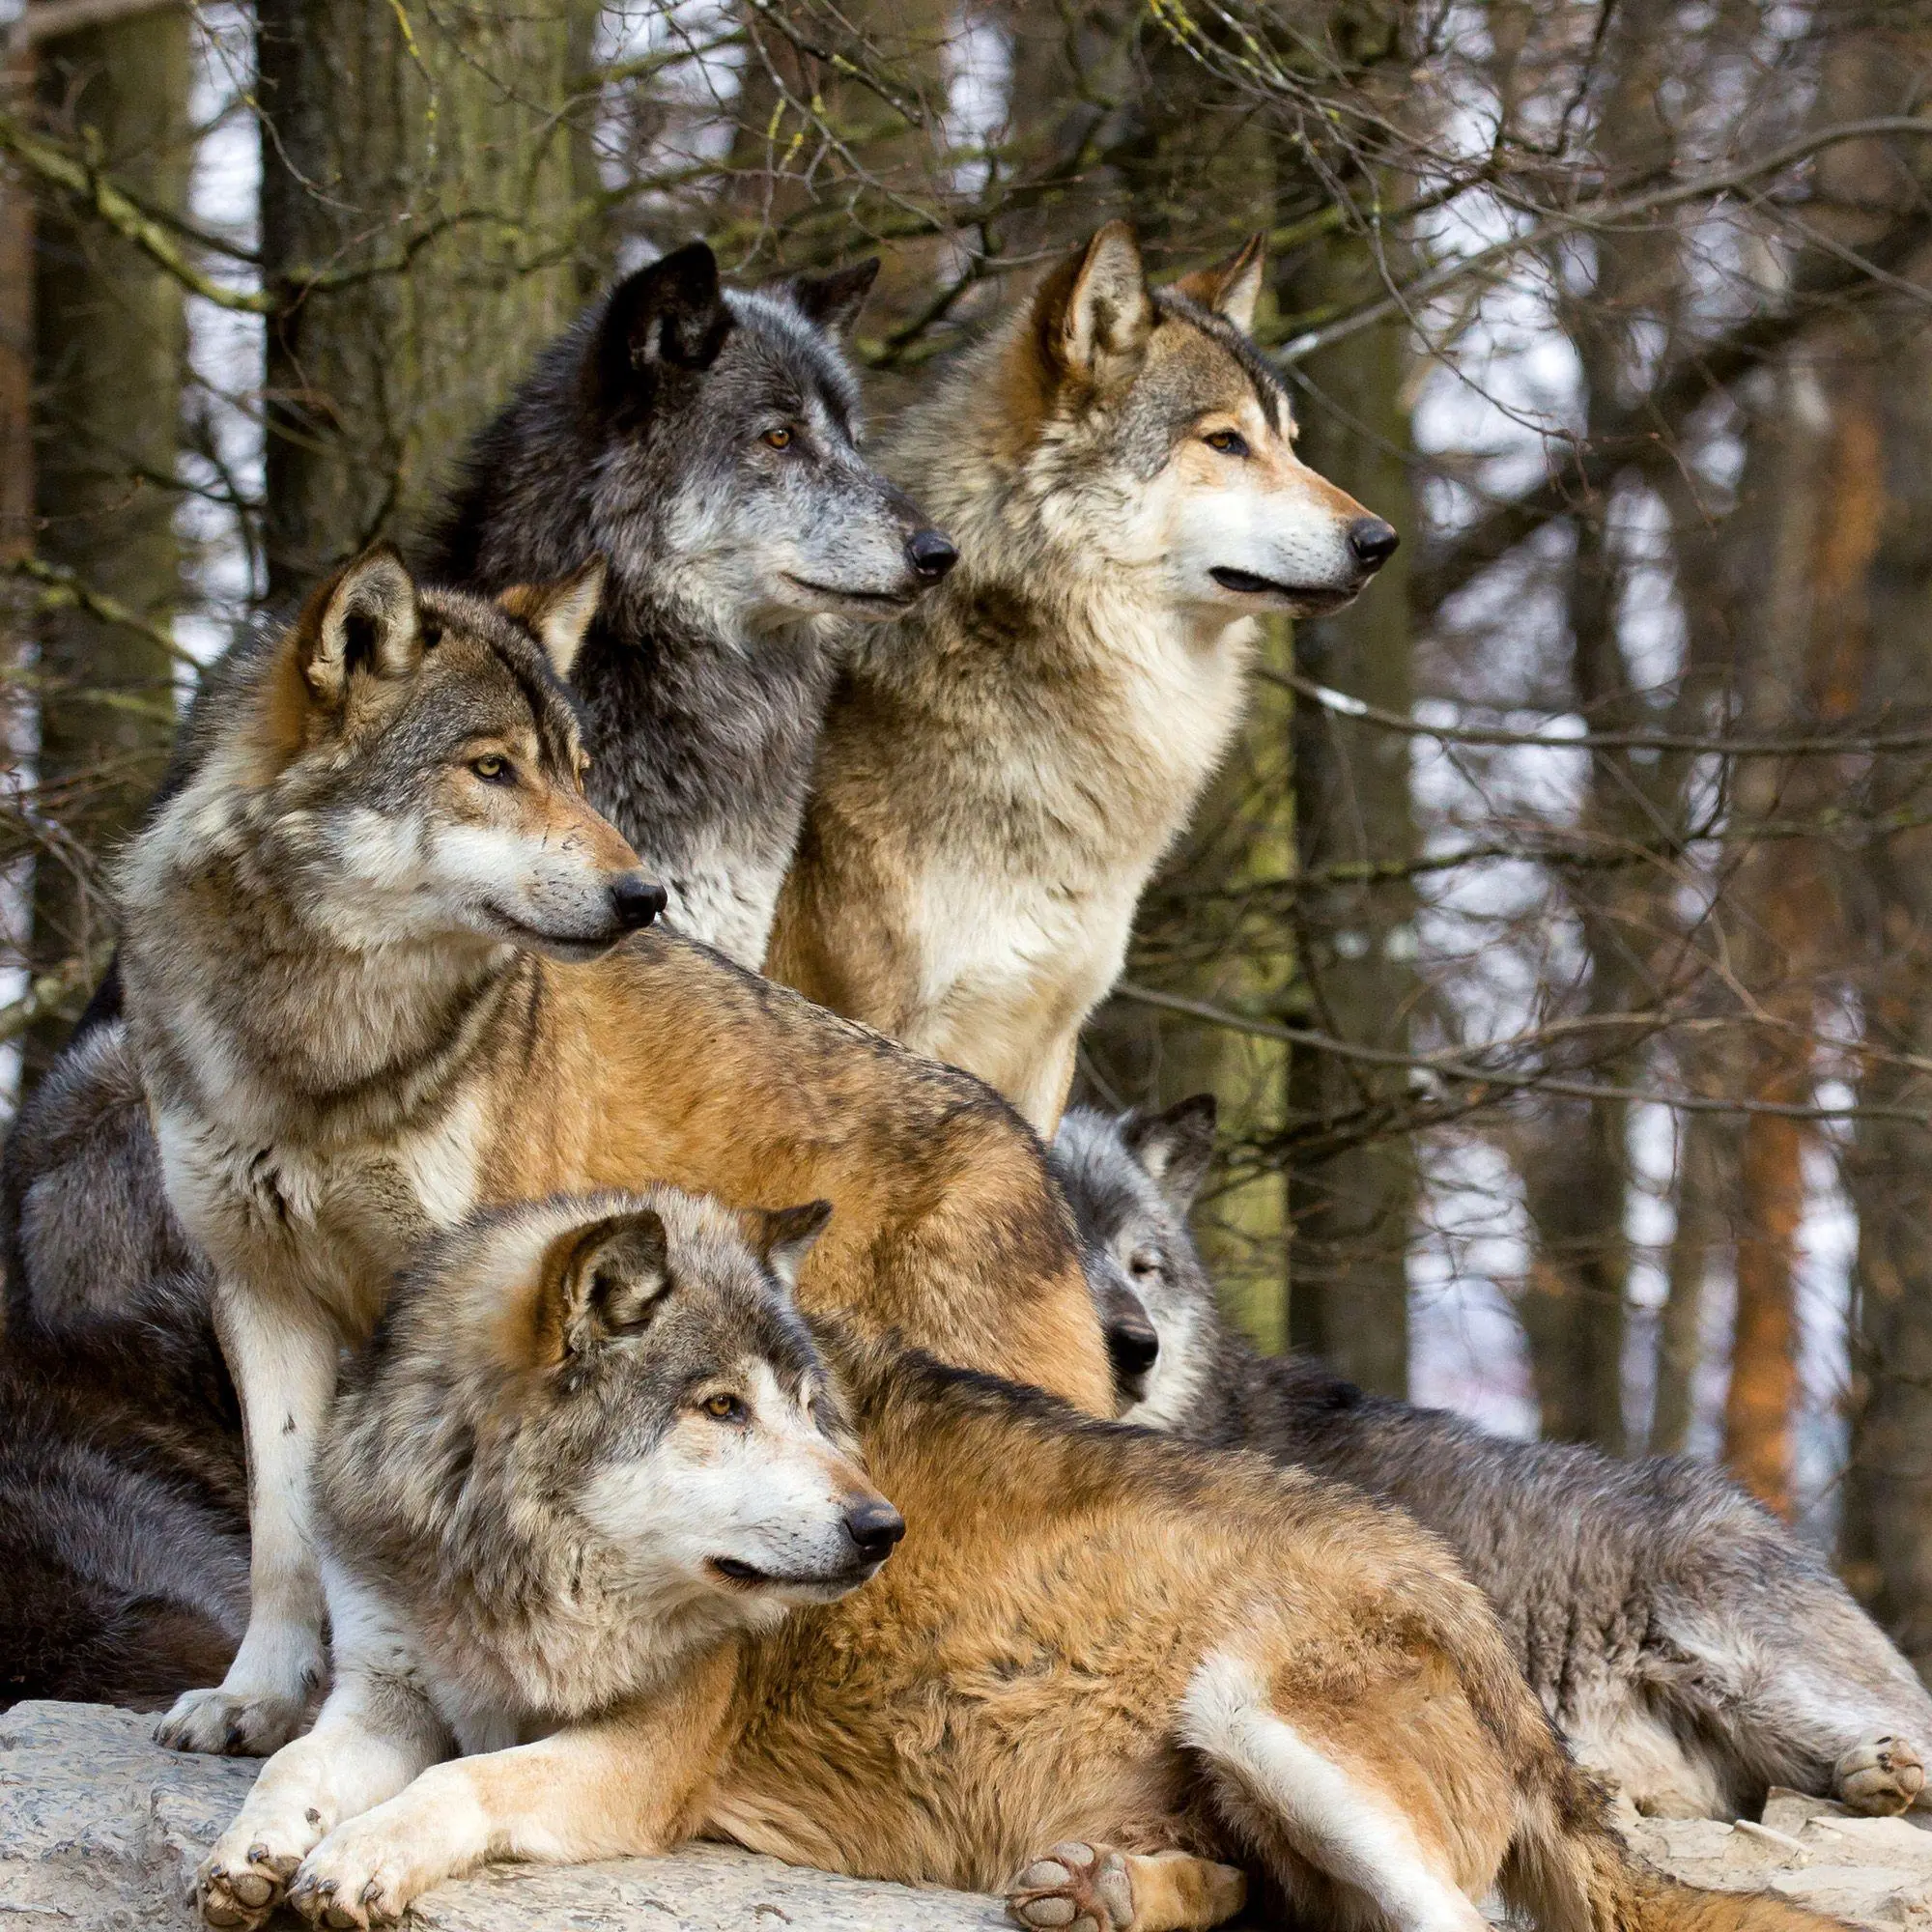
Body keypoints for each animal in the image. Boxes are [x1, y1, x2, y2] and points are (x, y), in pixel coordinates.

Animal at [114, 547, 1110, 1759]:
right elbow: (282, 1530)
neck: (325, 1046)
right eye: (491, 768)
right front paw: (254, 1699)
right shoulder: (258, 1291)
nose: (643, 895)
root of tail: (1031, 1150)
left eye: (579, 771)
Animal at [198, 1191, 1835, 1932]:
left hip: (1261, 1712)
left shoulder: (640, 1763)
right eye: (721, 1410)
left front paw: (358, 1860)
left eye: (815, 1411)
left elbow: (463, 1787)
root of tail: (1488, 1631)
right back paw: (1101, 1891)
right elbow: (300, 1767)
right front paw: (258, 1853)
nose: (879, 1532)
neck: (506, 1564)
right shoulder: (385, 1690)